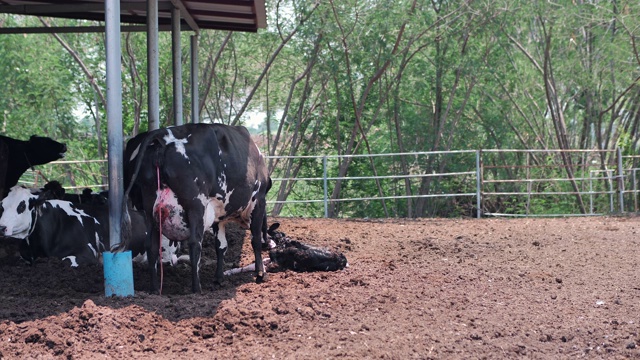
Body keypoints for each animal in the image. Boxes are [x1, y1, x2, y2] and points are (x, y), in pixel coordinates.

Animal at [122, 122, 270, 294]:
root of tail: (162, 136)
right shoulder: (258, 201)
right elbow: (255, 239)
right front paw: (260, 273)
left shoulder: (218, 215)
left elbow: (221, 246)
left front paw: (219, 278)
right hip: (195, 206)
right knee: (194, 243)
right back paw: (196, 288)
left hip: (149, 209)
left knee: (151, 246)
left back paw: (154, 289)